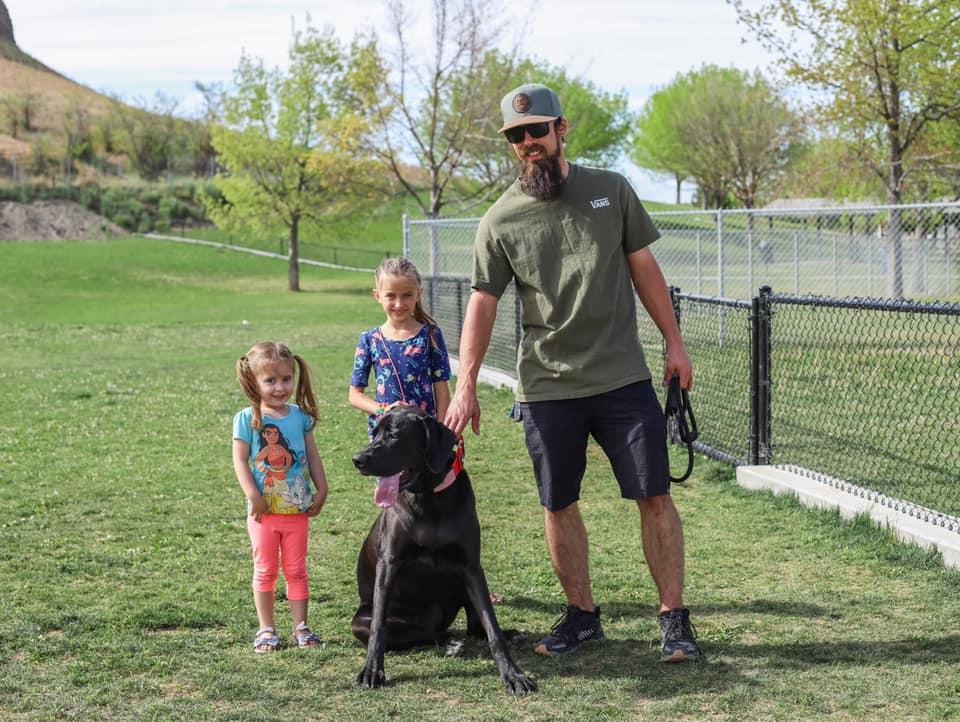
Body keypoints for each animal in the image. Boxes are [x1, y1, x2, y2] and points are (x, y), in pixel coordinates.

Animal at [350, 404, 536, 692]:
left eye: (394, 435)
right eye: (375, 432)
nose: (357, 459)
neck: (429, 497)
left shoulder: (471, 568)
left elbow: (491, 626)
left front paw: (513, 674)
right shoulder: (388, 564)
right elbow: (379, 628)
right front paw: (372, 670)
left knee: (475, 629)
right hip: (359, 622)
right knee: (421, 634)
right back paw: (449, 642)